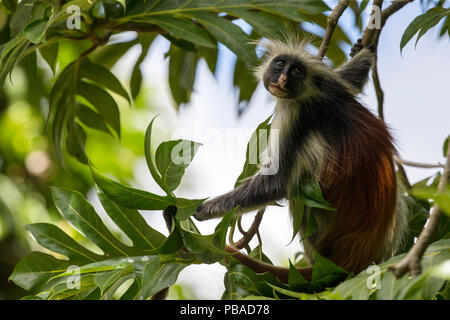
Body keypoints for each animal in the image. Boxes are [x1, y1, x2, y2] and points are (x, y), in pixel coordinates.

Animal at [193, 37, 408, 278]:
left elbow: (275, 184)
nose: (283, 79)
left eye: (296, 71)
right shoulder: (330, 85)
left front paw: (200, 210)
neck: (312, 94)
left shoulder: (293, 112)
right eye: (280, 64)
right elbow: (348, 81)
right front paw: (364, 53)